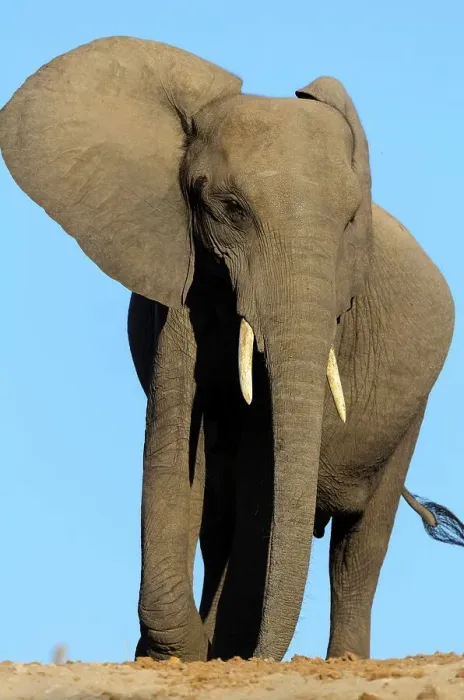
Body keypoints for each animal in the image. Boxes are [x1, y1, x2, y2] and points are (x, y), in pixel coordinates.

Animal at [1, 36, 463, 664]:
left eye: (349, 222)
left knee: (359, 548)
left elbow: (259, 477)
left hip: (414, 412)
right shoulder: (179, 277)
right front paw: (179, 649)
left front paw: (212, 645)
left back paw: (340, 657)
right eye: (230, 209)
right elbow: (176, 439)